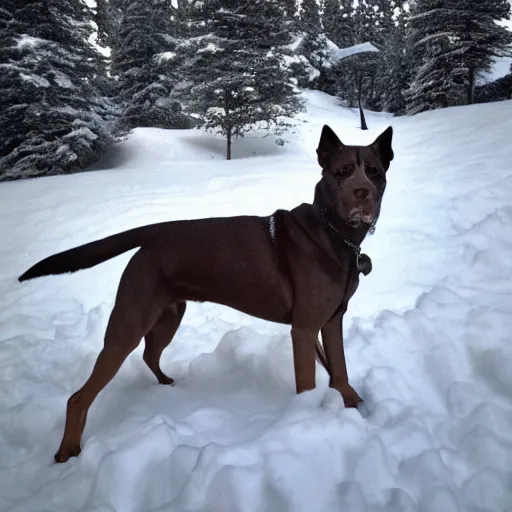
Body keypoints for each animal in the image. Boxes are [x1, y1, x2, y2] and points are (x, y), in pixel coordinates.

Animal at [19, 125, 392, 464]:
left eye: (375, 171)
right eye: (342, 171)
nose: (363, 193)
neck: (335, 236)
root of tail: (152, 236)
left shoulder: (332, 319)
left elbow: (339, 368)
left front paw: (352, 404)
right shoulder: (304, 329)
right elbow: (307, 382)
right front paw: (308, 418)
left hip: (168, 315)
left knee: (149, 355)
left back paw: (167, 383)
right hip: (129, 323)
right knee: (79, 397)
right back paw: (67, 450)